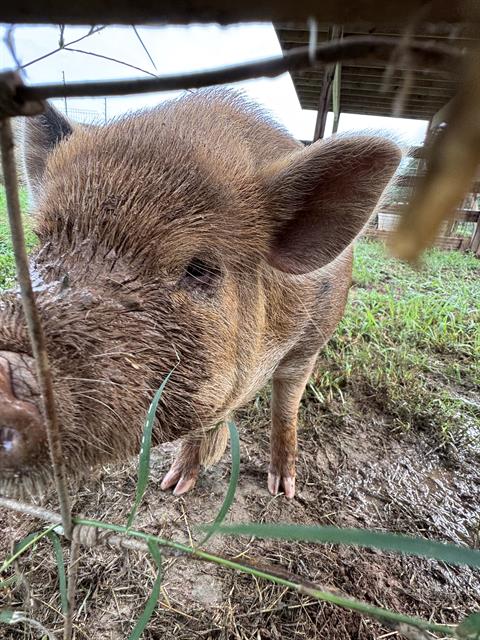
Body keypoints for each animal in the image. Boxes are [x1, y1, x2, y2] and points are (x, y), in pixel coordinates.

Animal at [0, 89, 400, 499]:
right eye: (43, 243)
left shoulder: (307, 346)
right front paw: (173, 486)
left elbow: (286, 405)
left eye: (198, 269)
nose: (6, 373)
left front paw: (281, 490)